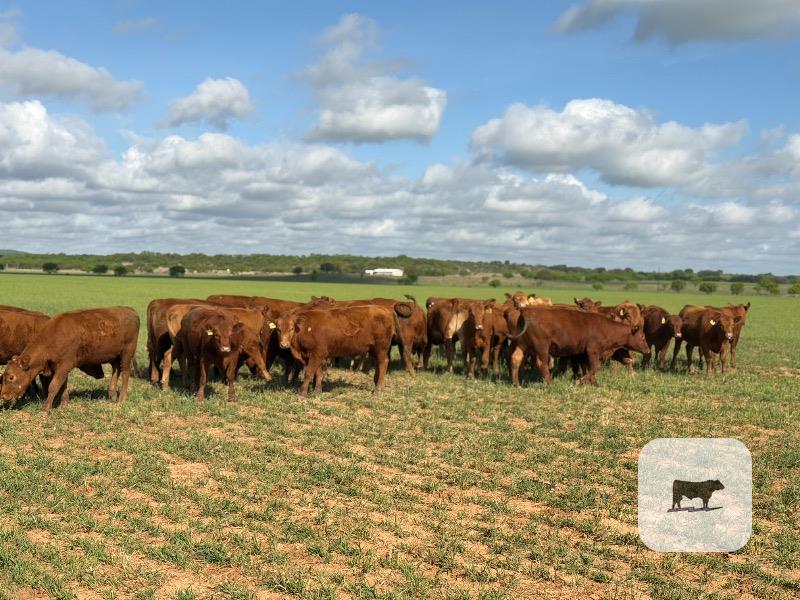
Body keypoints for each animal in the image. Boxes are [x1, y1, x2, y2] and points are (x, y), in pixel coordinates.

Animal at [0, 307, 139, 412]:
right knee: (116, 370)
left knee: (125, 372)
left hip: (127, 352)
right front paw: (64, 404)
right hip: (115, 356)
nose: (3, 395)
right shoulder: (60, 368)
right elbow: (63, 386)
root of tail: (130, 310)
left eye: (11, 377)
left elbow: (54, 386)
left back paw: (121, 399)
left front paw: (45, 409)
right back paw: (112, 394)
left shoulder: (64, 366)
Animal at [509, 307, 649, 386]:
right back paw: (551, 383)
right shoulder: (593, 350)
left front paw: (593, 383)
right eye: (642, 336)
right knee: (541, 363)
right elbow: (595, 367)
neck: (606, 328)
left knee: (516, 359)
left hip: (522, 344)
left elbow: (586, 368)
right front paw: (580, 381)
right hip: (542, 346)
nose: (647, 350)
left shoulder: (582, 353)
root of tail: (527, 311)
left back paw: (516, 384)